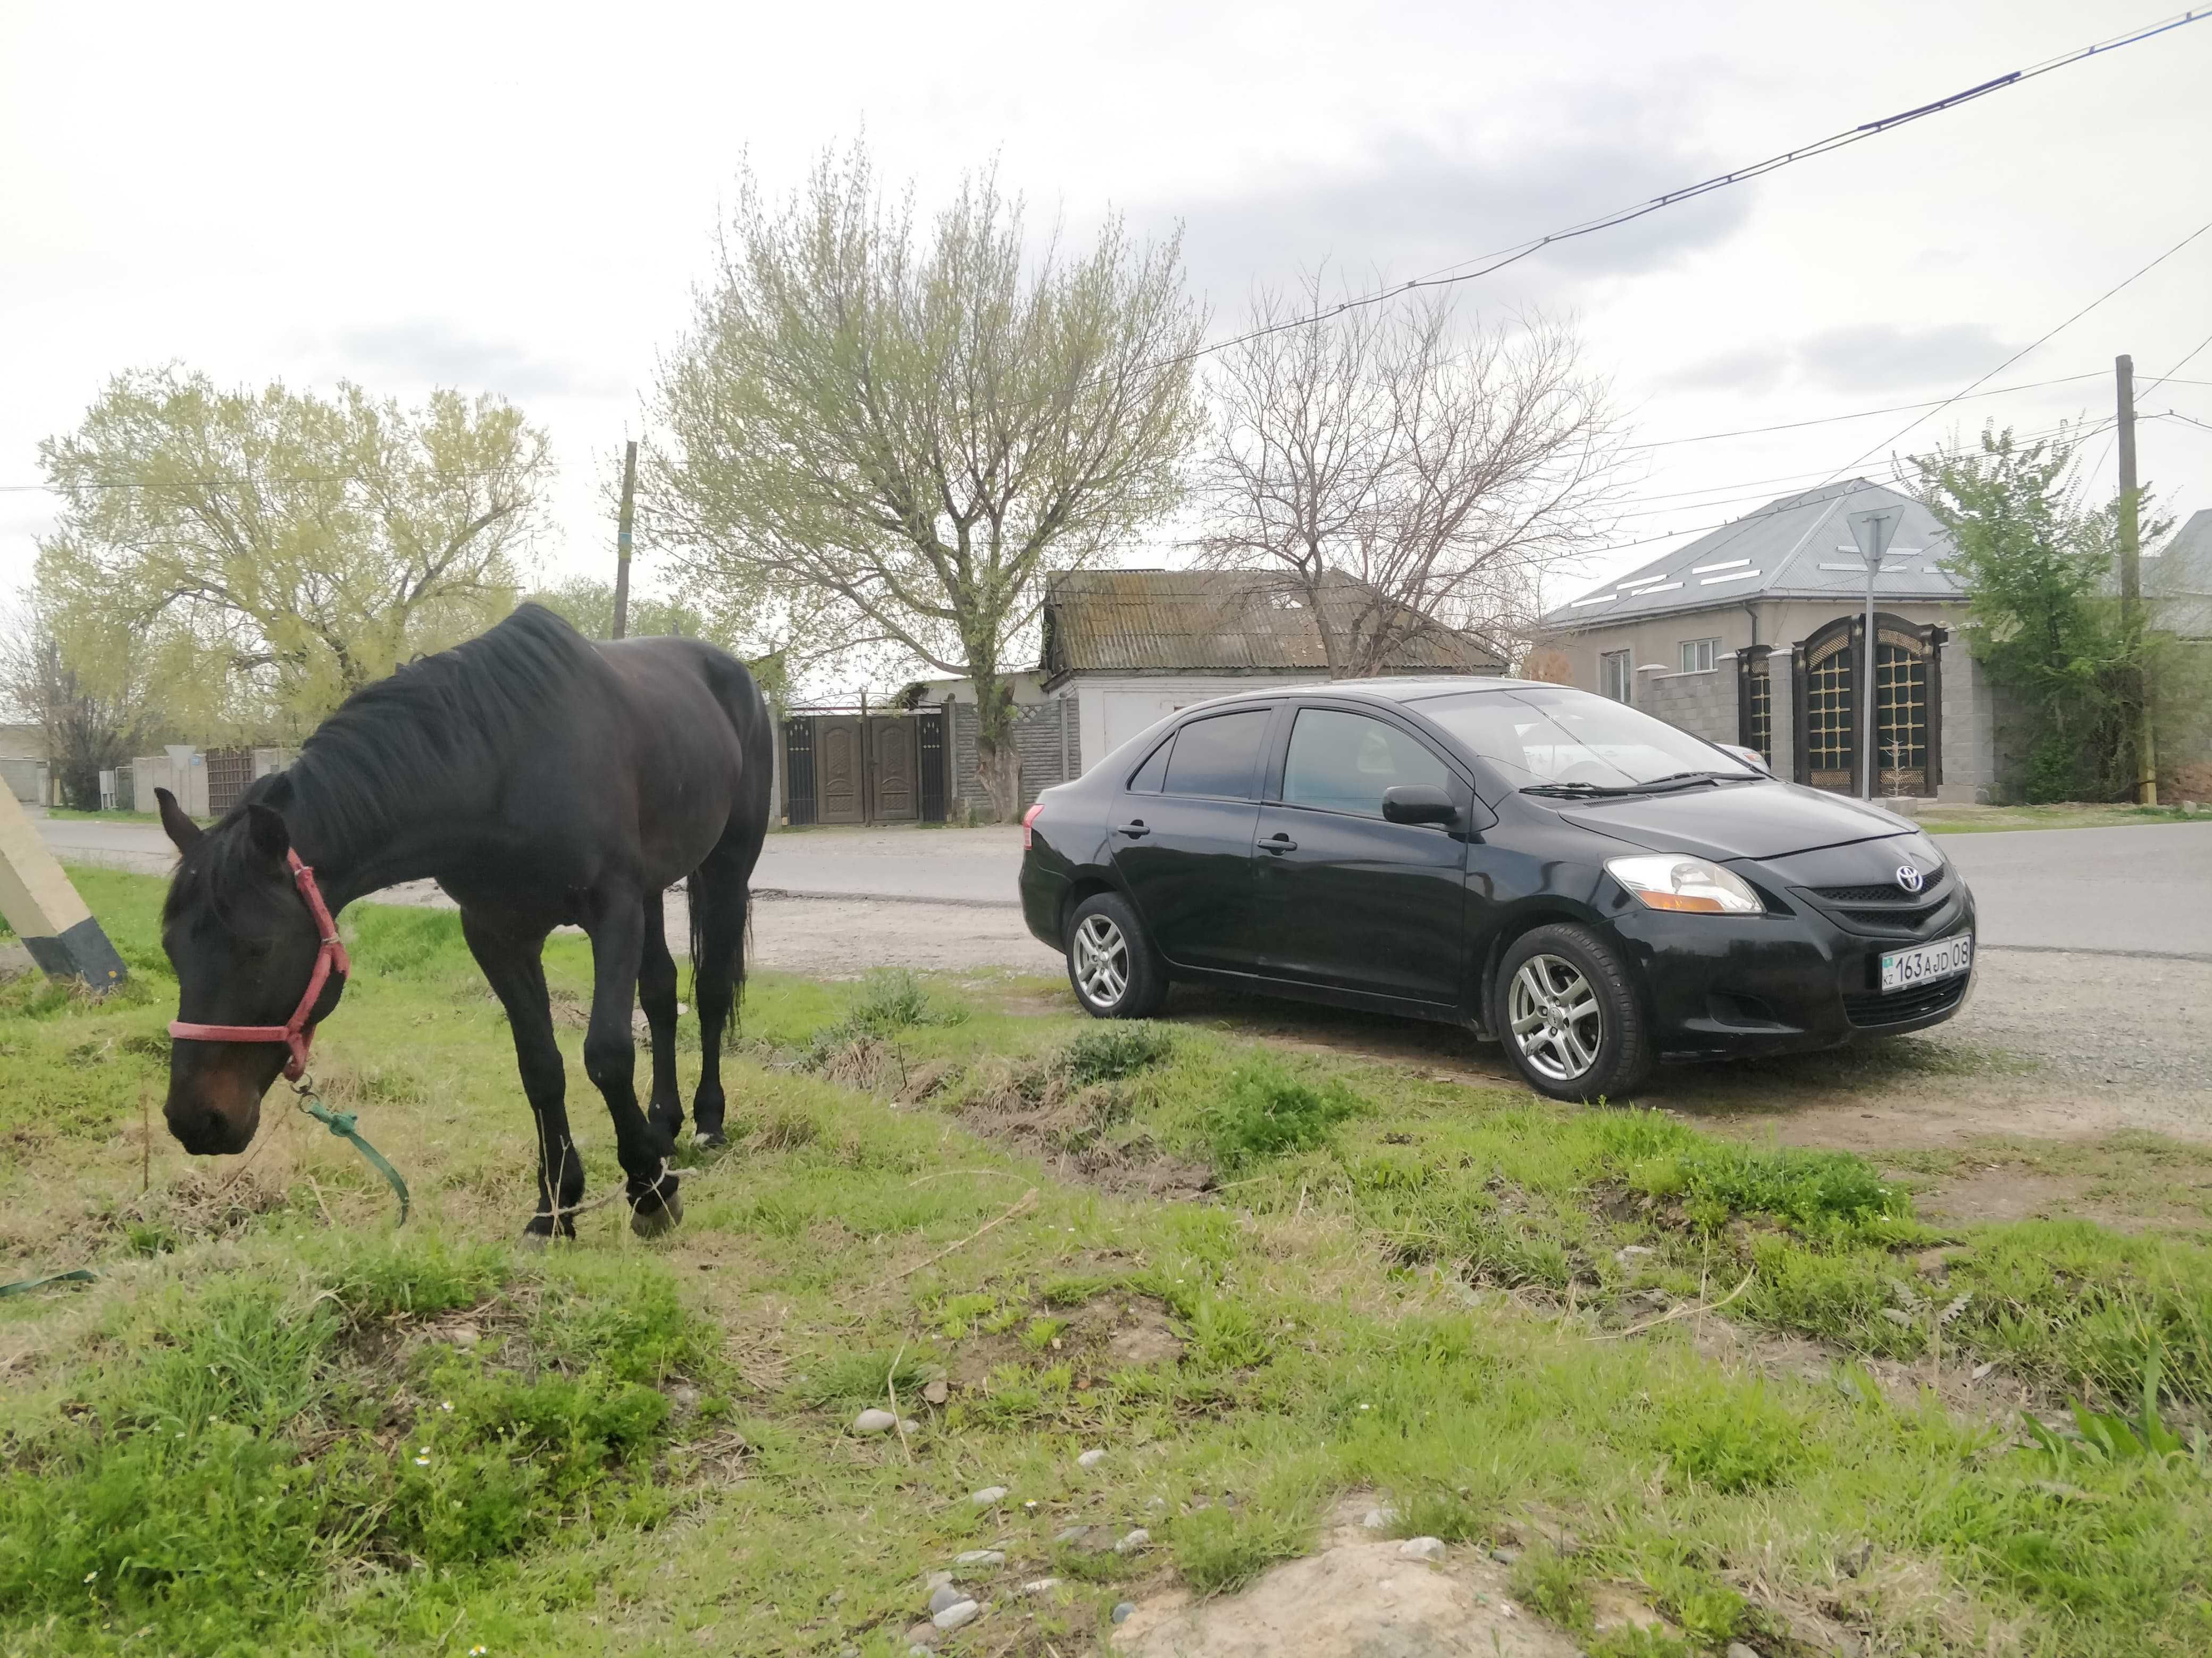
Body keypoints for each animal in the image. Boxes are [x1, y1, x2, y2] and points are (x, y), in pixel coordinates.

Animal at [151, 605, 774, 1238]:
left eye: (259, 948)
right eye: (172, 948)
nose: (195, 1119)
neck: (502, 767)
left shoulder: (612, 911)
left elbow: (607, 1054)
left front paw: (650, 1192)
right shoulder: (497, 935)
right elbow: (540, 1066)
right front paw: (554, 1208)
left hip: (726, 863)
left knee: (712, 990)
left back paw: (707, 1121)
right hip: (652, 889)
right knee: (661, 994)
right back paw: (663, 1124)